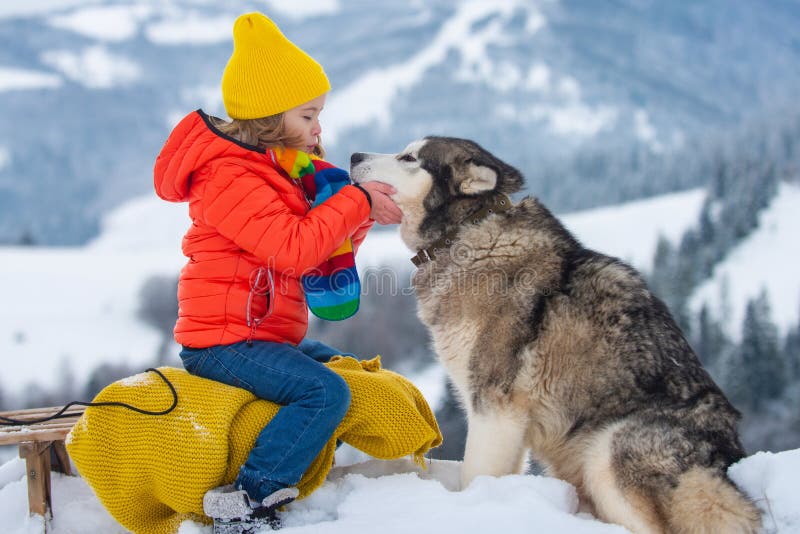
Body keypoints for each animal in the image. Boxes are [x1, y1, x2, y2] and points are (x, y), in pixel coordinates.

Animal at [352, 139, 764, 534]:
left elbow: (474, 475)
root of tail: (730, 461)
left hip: (607, 450)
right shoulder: (502, 421)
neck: (465, 231)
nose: (354, 155)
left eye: (409, 158)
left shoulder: (494, 407)